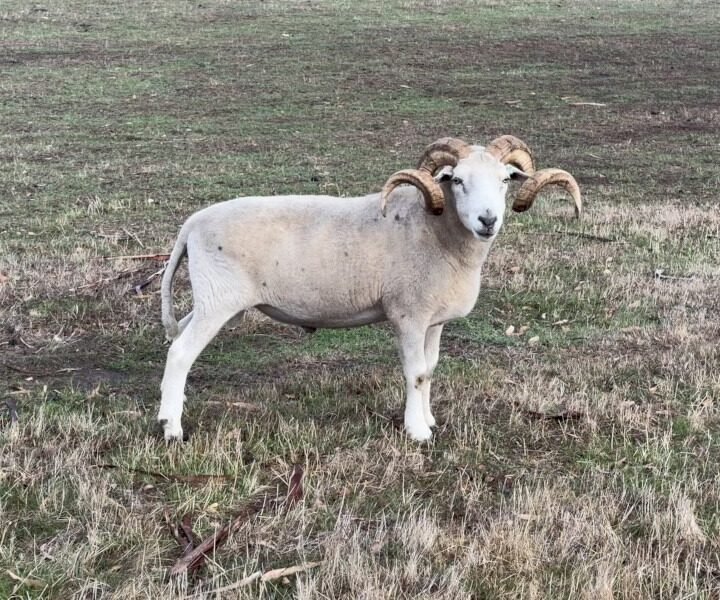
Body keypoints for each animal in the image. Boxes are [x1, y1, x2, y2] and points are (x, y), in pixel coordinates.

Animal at [157, 136, 581, 442]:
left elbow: (431, 369)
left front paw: (429, 418)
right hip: (218, 301)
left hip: (212, 299)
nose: (487, 220)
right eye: (458, 180)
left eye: (505, 180)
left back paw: (171, 406)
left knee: (177, 339)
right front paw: (417, 432)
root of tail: (192, 224)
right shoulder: (408, 314)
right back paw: (172, 429)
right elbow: (415, 373)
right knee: (180, 353)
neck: (435, 231)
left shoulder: (434, 321)